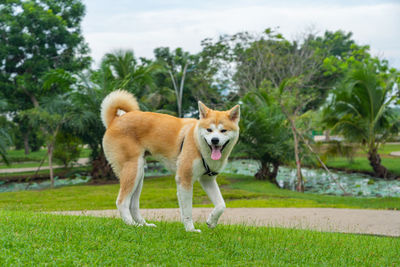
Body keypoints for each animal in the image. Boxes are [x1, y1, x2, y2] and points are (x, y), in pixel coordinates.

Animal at [100, 90, 239, 232]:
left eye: (223, 130)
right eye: (209, 130)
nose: (214, 140)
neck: (197, 142)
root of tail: (115, 120)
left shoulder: (207, 180)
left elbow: (221, 205)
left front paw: (211, 221)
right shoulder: (184, 179)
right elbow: (188, 211)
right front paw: (191, 230)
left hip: (139, 175)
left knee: (133, 205)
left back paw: (144, 225)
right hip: (133, 170)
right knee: (122, 202)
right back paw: (132, 225)